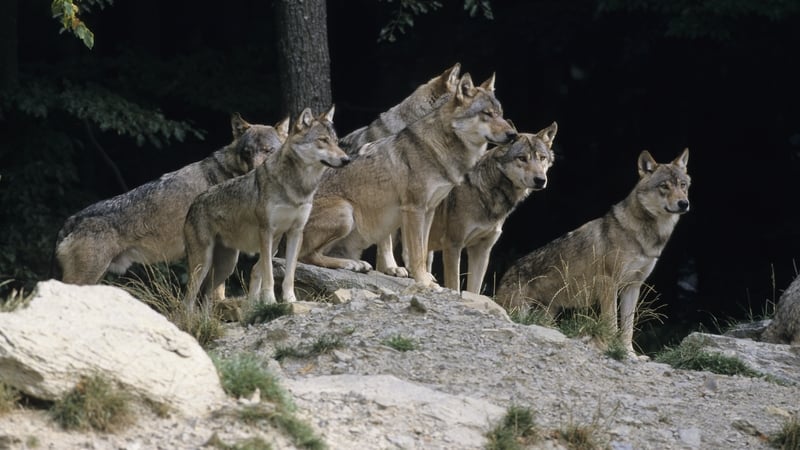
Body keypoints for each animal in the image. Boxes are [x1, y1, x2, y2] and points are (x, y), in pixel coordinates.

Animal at [182, 106, 350, 310]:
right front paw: (270, 301)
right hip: (203, 265)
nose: (347, 159)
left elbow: (289, 274)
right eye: (323, 140)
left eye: (336, 141)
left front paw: (290, 300)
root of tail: (193, 203)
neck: (297, 187)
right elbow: (268, 273)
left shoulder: (295, 233)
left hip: (227, 266)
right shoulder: (266, 232)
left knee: (207, 298)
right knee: (188, 300)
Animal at [299, 73, 518, 286]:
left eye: (501, 113)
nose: (513, 134)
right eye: (487, 114)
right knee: (305, 256)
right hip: (346, 213)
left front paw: (424, 277)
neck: (439, 148)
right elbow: (415, 252)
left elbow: (423, 250)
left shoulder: (429, 210)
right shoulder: (414, 208)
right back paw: (351, 264)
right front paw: (423, 281)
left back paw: (356, 264)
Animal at [427, 123, 557, 294]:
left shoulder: (482, 250)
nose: (540, 180)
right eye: (522, 158)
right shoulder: (453, 245)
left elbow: (474, 290)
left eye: (542, 158)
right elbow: (454, 285)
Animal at [494, 148, 691, 356]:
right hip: (520, 309)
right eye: (664, 186)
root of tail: (507, 272)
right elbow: (612, 322)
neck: (645, 236)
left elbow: (628, 327)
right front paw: (610, 347)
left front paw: (628, 353)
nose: (684, 203)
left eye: (683, 185)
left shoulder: (632, 286)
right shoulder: (609, 283)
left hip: (548, 313)